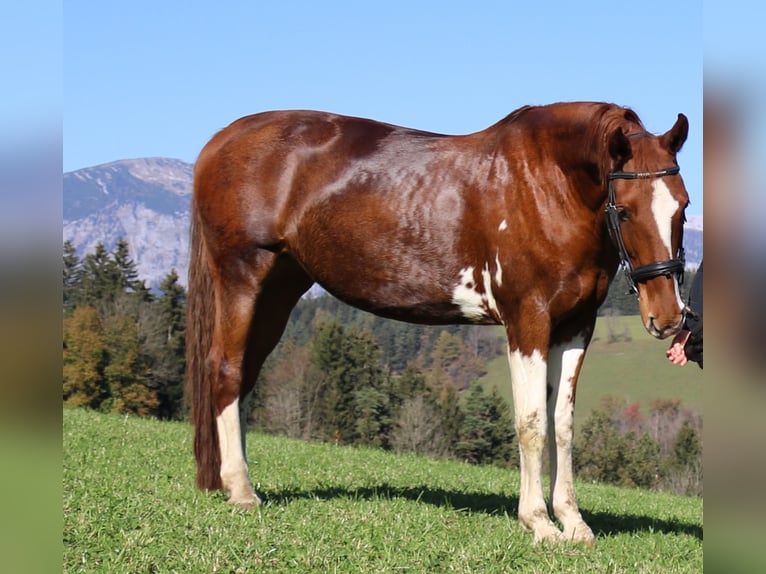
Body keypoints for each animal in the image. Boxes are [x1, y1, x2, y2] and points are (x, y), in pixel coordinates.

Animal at [186, 101, 688, 548]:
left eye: (682, 206)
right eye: (625, 209)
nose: (667, 316)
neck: (546, 183)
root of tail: (220, 141)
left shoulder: (575, 325)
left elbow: (560, 424)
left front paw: (574, 523)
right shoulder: (527, 320)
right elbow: (530, 422)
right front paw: (540, 524)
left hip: (281, 288)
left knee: (244, 376)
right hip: (243, 275)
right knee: (226, 370)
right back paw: (242, 491)